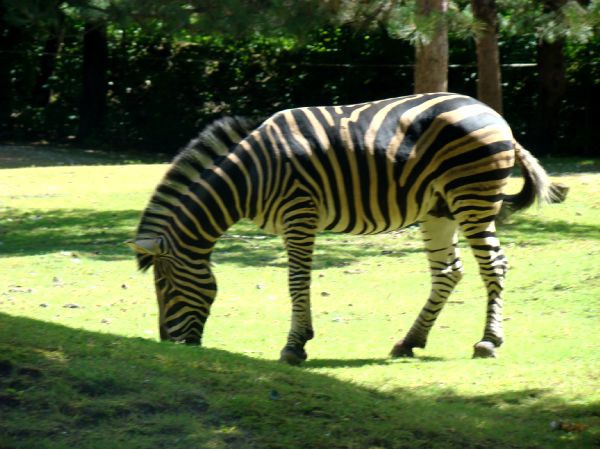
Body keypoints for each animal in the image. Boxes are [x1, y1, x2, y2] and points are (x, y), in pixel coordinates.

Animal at [126, 92, 564, 364]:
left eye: (163, 285)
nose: (170, 345)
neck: (250, 177)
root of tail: (493, 114)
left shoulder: (299, 213)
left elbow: (297, 281)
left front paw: (294, 347)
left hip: (471, 197)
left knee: (494, 265)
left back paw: (489, 341)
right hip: (438, 208)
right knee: (448, 272)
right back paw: (409, 341)